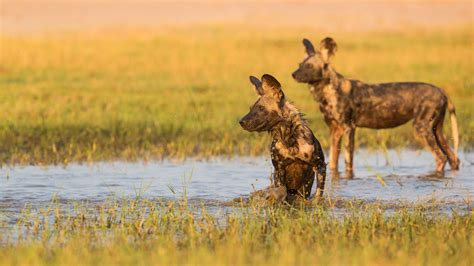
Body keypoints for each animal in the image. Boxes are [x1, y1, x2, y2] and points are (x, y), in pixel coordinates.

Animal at [241, 74, 326, 203]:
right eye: (251, 108)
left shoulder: (320, 166)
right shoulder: (279, 170)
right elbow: (281, 192)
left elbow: (318, 195)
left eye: (261, 108)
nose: (241, 122)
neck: (289, 139)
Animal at [292, 38, 460, 175]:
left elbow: (348, 161)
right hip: (436, 130)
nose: (293, 74)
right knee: (453, 158)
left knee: (441, 157)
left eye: (309, 66)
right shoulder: (335, 130)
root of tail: (441, 91)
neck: (329, 91)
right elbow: (333, 162)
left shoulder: (349, 128)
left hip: (421, 129)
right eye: (300, 64)